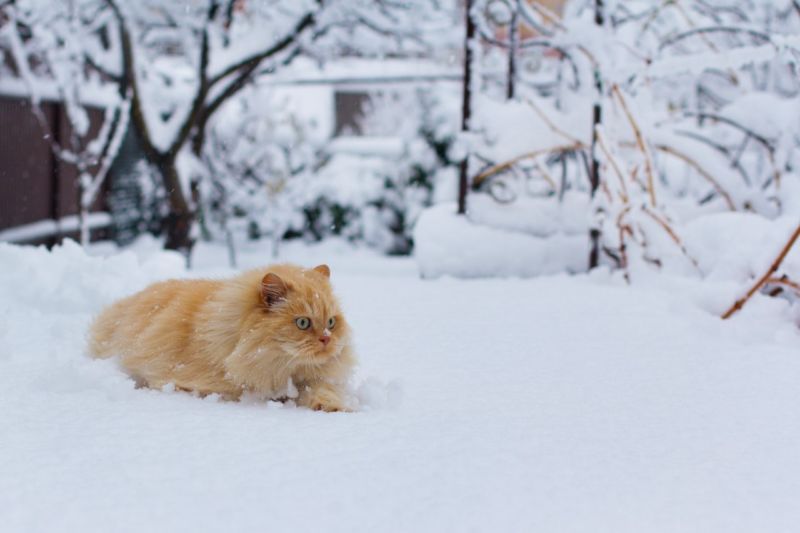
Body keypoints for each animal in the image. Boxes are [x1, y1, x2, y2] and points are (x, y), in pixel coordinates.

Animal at [89, 262, 354, 412]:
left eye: (331, 323)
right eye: (302, 323)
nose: (327, 339)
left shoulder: (311, 378)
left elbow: (321, 389)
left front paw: (333, 406)